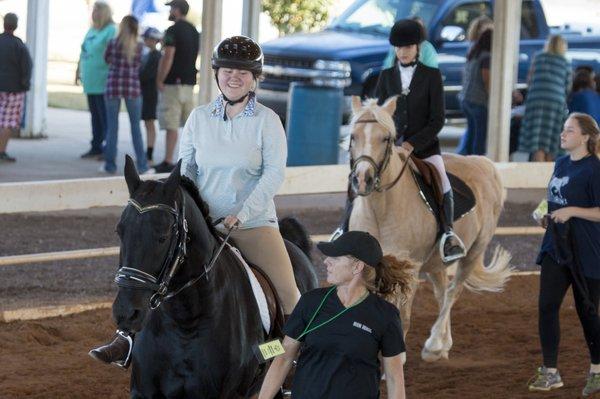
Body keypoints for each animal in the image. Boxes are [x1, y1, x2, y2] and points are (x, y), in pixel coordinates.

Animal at [350, 97, 512, 362]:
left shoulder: (410, 269)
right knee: (442, 292)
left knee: (453, 292)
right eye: (353, 136)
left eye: (386, 138)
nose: (363, 178)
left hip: (473, 253)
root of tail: (482, 163)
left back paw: (434, 344)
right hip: (437, 263)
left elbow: (403, 317)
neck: (380, 210)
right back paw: (444, 344)